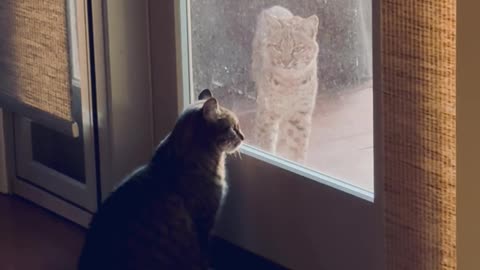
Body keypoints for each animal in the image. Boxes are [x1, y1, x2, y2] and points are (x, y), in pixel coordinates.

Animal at [251, 5, 318, 162]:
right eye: (277, 47)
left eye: (298, 48)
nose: (286, 62)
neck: (290, 81)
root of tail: (275, 6)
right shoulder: (267, 111)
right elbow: (265, 142)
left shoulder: (300, 113)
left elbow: (298, 145)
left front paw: (298, 162)